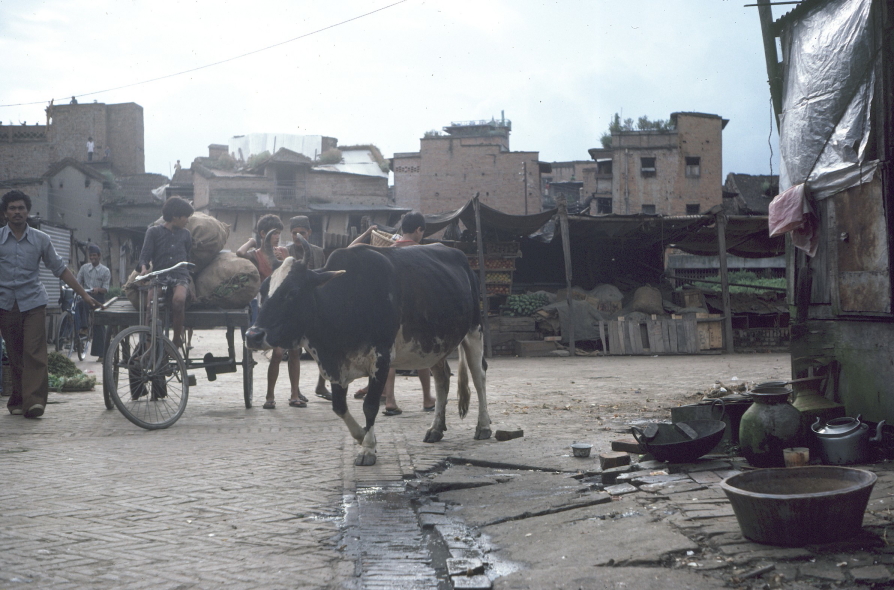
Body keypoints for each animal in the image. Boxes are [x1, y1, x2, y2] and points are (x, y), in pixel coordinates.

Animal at [245, 239, 490, 468]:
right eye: (263, 291)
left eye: (292, 292)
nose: (252, 335)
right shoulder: (336, 366)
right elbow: (339, 407)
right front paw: (362, 436)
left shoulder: (381, 359)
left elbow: (370, 405)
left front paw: (368, 448)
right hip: (434, 347)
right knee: (442, 379)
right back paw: (436, 429)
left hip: (474, 331)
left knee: (479, 377)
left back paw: (484, 426)